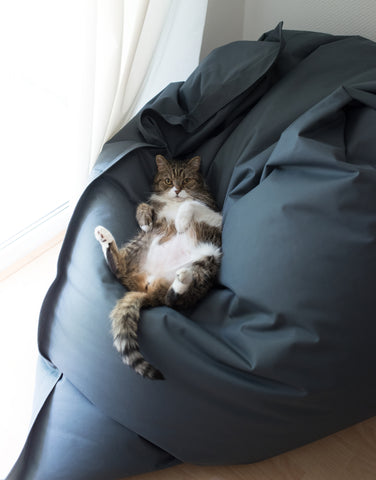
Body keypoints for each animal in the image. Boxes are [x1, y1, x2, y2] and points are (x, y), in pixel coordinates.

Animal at [95, 156, 222, 380]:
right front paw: (144, 218)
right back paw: (106, 239)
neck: (175, 202)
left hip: (209, 258)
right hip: (143, 240)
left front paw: (181, 222)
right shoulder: (155, 215)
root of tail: (148, 288)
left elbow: (191, 202)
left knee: (173, 300)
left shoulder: (215, 213)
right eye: (168, 180)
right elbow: (143, 205)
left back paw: (182, 280)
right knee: (119, 269)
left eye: (187, 180)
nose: (177, 190)